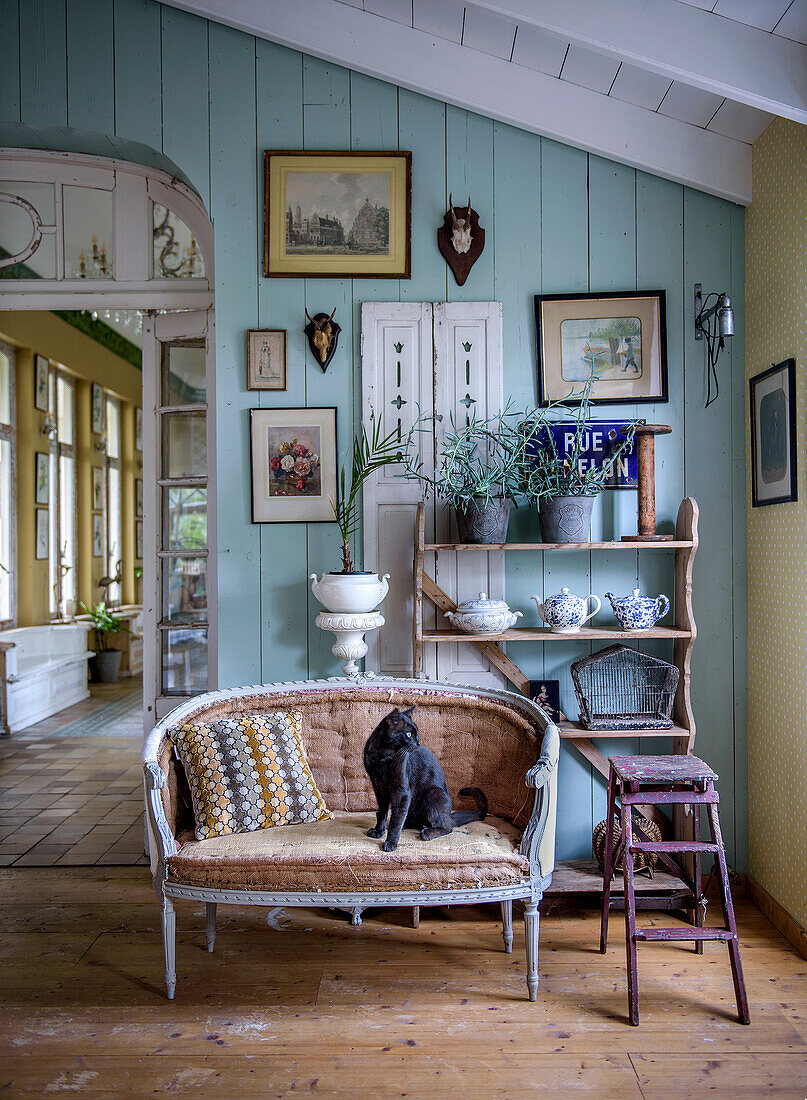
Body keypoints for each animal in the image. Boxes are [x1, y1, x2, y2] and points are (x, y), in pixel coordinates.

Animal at [365, 704, 490, 849]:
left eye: (416, 733)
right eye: (409, 734)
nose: (418, 743)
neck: (384, 755)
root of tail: (450, 815)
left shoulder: (402, 791)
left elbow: (396, 820)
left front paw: (391, 843)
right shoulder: (378, 786)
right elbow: (383, 812)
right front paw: (378, 831)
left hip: (434, 794)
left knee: (447, 826)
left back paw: (427, 833)